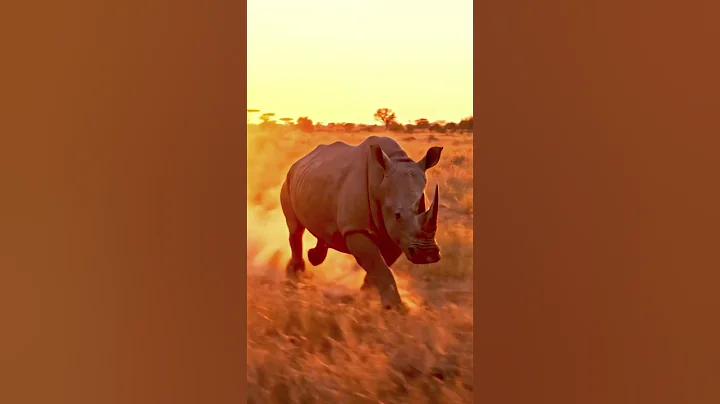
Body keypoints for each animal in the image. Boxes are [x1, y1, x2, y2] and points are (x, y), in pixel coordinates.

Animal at [280, 136, 443, 309]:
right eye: (398, 215)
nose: (428, 255)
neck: (381, 183)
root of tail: (299, 160)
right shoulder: (356, 229)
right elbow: (378, 266)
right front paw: (396, 309)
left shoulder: (397, 235)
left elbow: (379, 267)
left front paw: (367, 297)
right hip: (288, 181)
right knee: (296, 230)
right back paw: (295, 275)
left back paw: (313, 258)